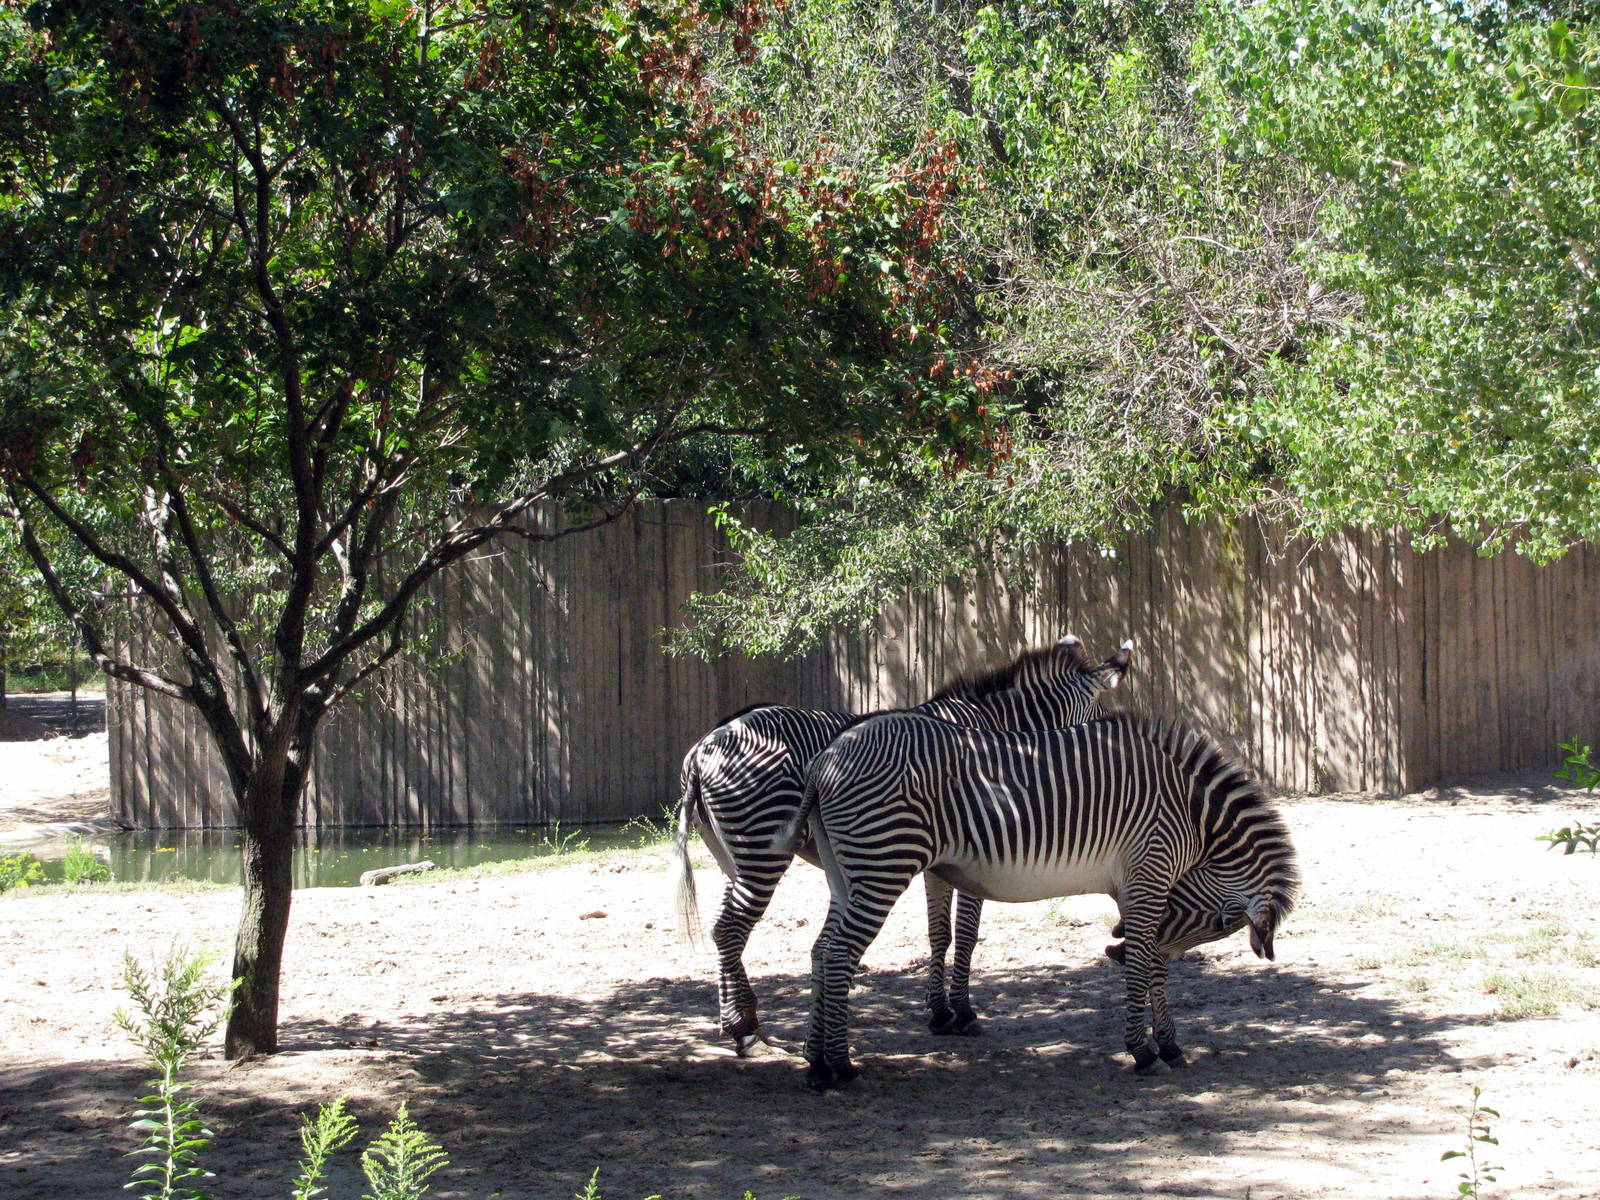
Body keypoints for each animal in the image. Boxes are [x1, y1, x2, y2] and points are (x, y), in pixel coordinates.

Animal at [672, 635, 1134, 1055]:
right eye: (1099, 718)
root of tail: (701, 748)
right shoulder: (977, 854)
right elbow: (967, 934)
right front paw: (963, 1013)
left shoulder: (941, 860)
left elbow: (939, 934)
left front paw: (940, 1013)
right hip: (762, 852)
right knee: (731, 929)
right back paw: (745, 1032)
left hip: (731, 857)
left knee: (722, 929)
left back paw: (743, 1023)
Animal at [793, 710, 1299, 1089]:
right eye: (1220, 924)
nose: (1110, 950)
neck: (1191, 815)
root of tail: (824, 758)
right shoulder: (1149, 875)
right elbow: (1146, 962)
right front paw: (1143, 1051)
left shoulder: (1135, 889)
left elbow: (1151, 963)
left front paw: (1168, 1045)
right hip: (883, 862)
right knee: (839, 955)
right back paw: (841, 1065)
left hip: (847, 873)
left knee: (820, 950)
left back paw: (816, 1064)